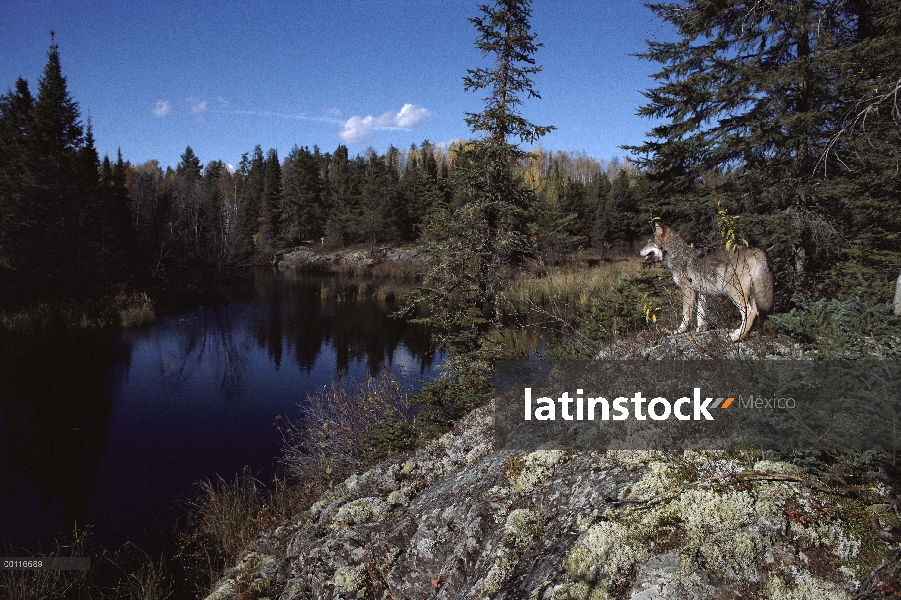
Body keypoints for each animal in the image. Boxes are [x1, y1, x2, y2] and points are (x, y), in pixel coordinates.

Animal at [640, 221, 772, 342]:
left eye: (650, 242)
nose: (639, 252)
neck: (677, 254)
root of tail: (755, 250)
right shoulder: (701, 291)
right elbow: (701, 313)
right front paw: (701, 329)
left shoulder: (688, 290)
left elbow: (686, 314)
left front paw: (680, 330)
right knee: (754, 313)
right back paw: (740, 333)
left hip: (734, 292)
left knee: (750, 313)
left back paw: (737, 337)